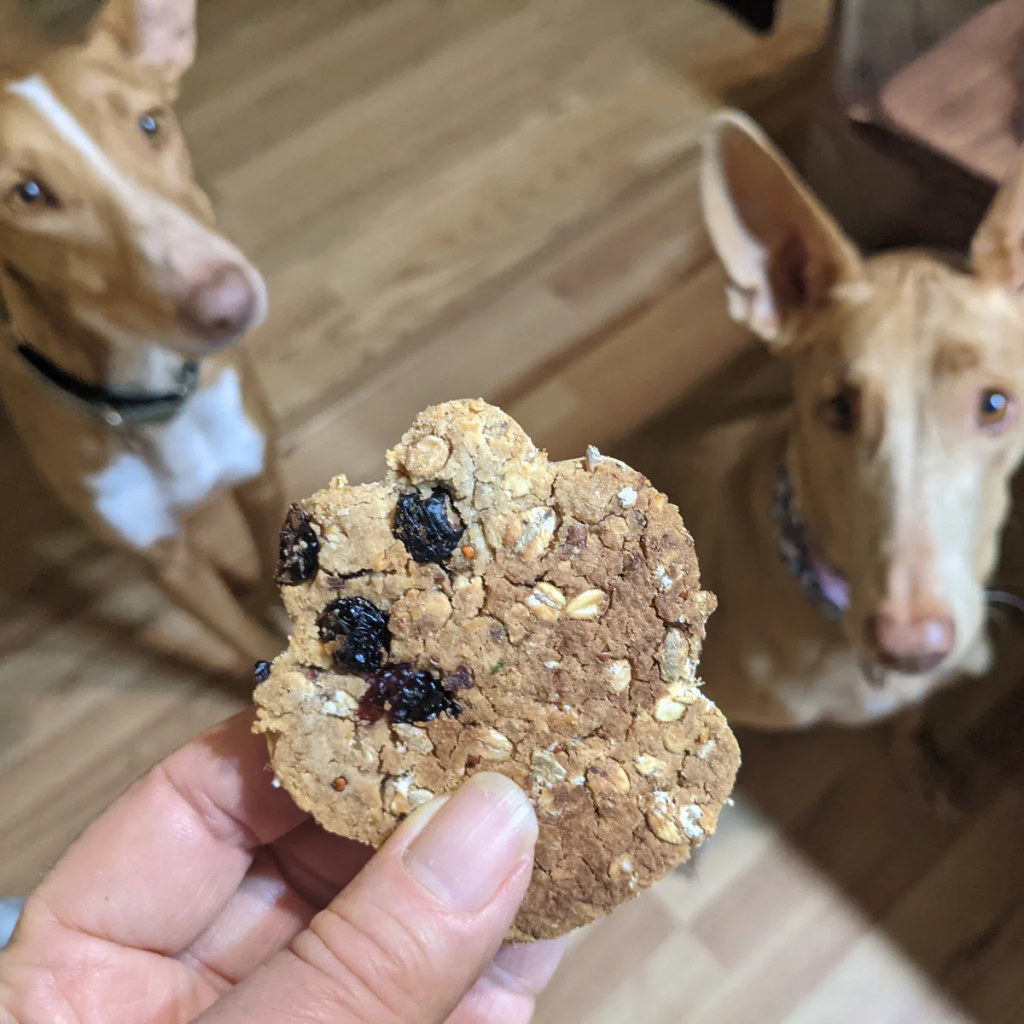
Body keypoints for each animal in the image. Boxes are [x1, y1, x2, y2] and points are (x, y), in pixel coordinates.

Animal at [0, 0, 284, 663]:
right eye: (28, 193)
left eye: (151, 124)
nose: (230, 305)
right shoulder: (163, 559)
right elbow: (247, 645)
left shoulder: (261, 477)